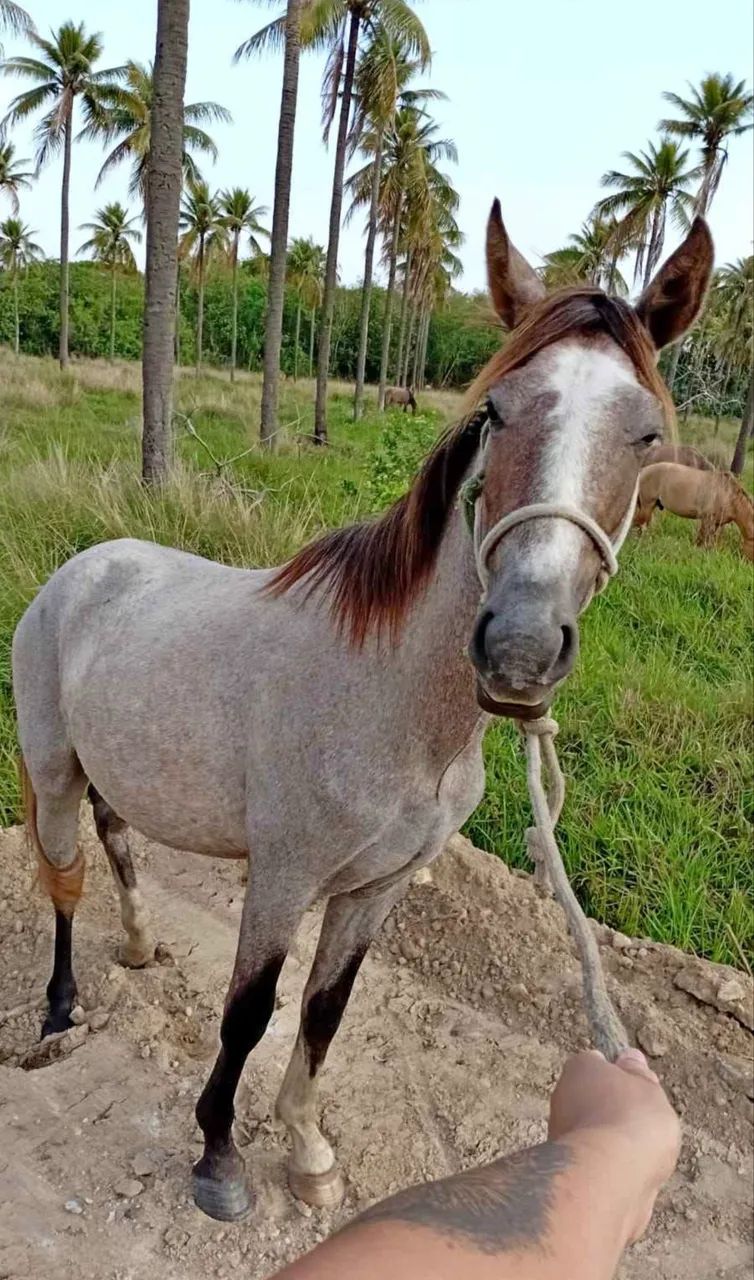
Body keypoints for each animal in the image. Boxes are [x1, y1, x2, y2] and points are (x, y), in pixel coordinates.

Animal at [13, 203, 713, 1223]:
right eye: (494, 411)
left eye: (647, 434)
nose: (521, 646)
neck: (393, 706)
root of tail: (79, 569)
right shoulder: (283, 876)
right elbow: (249, 1013)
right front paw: (219, 1159)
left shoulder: (378, 888)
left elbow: (323, 1011)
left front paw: (307, 1152)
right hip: (55, 767)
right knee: (63, 881)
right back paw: (60, 1010)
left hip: (119, 773)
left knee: (118, 842)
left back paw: (140, 947)